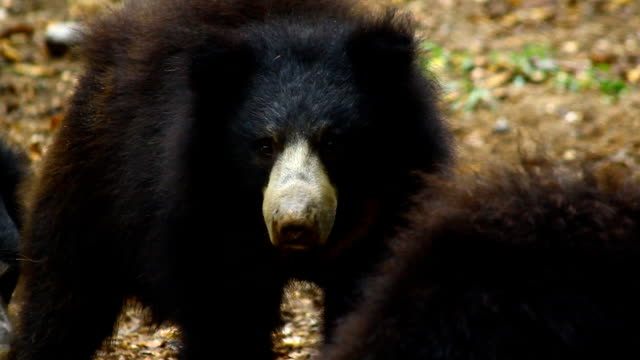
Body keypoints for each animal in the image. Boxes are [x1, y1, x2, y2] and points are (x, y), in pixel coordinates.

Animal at [8, 0, 450, 360]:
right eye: (265, 145)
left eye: (333, 141)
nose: (295, 224)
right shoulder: (202, 206)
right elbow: (225, 317)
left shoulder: (393, 200)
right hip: (92, 184)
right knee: (64, 300)